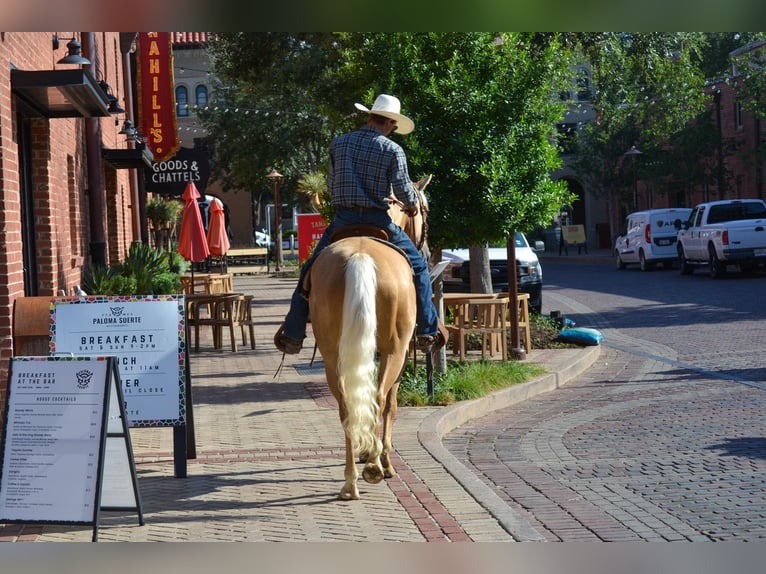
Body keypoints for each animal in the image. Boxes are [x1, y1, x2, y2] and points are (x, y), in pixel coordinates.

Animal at [308, 174, 438, 500]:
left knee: (346, 404)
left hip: (332, 356)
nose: (427, 253)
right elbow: (391, 404)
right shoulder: (400, 356)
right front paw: (383, 457)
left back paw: (351, 480)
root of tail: (360, 255)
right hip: (395, 350)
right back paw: (375, 467)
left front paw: (368, 450)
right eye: (425, 210)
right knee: (379, 398)